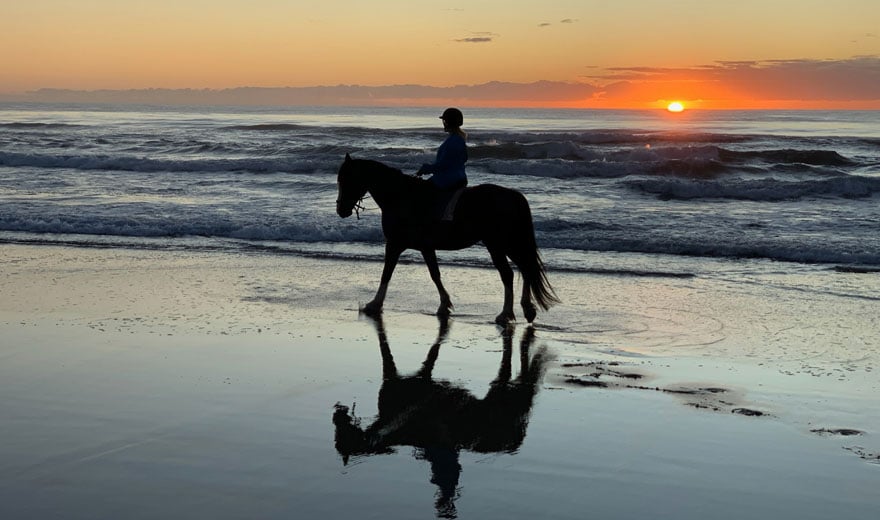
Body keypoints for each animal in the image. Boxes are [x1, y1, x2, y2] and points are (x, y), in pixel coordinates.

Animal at [336, 154, 556, 324]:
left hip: (498, 244)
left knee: (510, 273)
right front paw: (444, 305)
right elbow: (435, 274)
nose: (341, 210)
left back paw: (506, 314)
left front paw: (374, 304)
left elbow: (386, 274)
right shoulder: (426, 247)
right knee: (525, 269)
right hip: (507, 244)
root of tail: (513, 196)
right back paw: (527, 310)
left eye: (346, 180)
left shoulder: (394, 244)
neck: (401, 196)